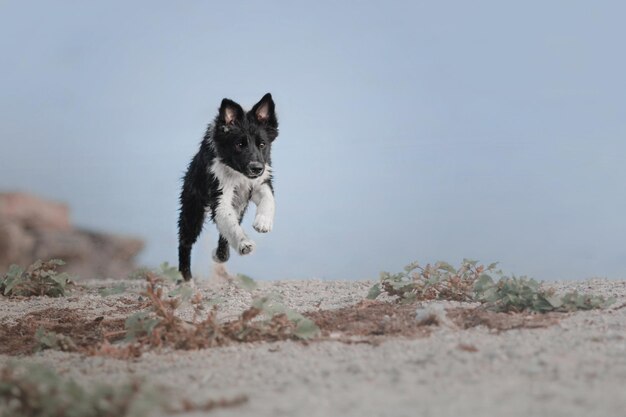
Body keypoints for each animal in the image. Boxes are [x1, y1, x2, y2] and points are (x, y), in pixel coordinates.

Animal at [179, 92, 280, 280]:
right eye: (239, 144)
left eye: (262, 144)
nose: (256, 168)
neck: (237, 173)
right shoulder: (220, 194)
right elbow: (229, 221)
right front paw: (244, 243)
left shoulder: (260, 182)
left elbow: (268, 199)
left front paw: (263, 222)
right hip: (192, 209)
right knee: (185, 242)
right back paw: (186, 278)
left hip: (239, 204)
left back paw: (220, 255)